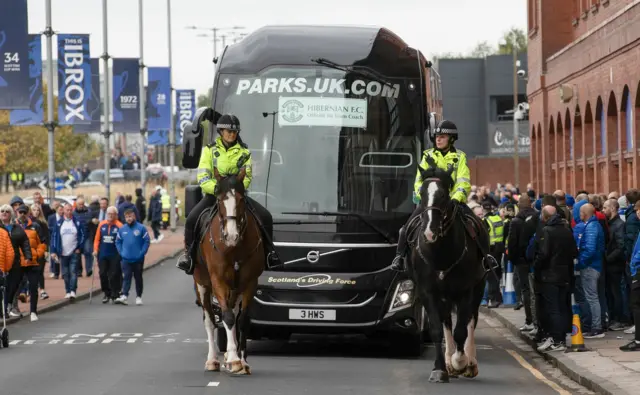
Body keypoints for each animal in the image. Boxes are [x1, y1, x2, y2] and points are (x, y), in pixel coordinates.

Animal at [194, 167, 266, 378]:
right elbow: (225, 317)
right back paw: (213, 361)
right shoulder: (218, 281)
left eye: (241, 199)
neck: (234, 249)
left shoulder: (249, 282)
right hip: (202, 284)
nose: (231, 236)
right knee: (210, 320)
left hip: (235, 289)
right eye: (219, 200)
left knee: (233, 314)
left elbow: (242, 320)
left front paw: (242, 361)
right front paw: (234, 360)